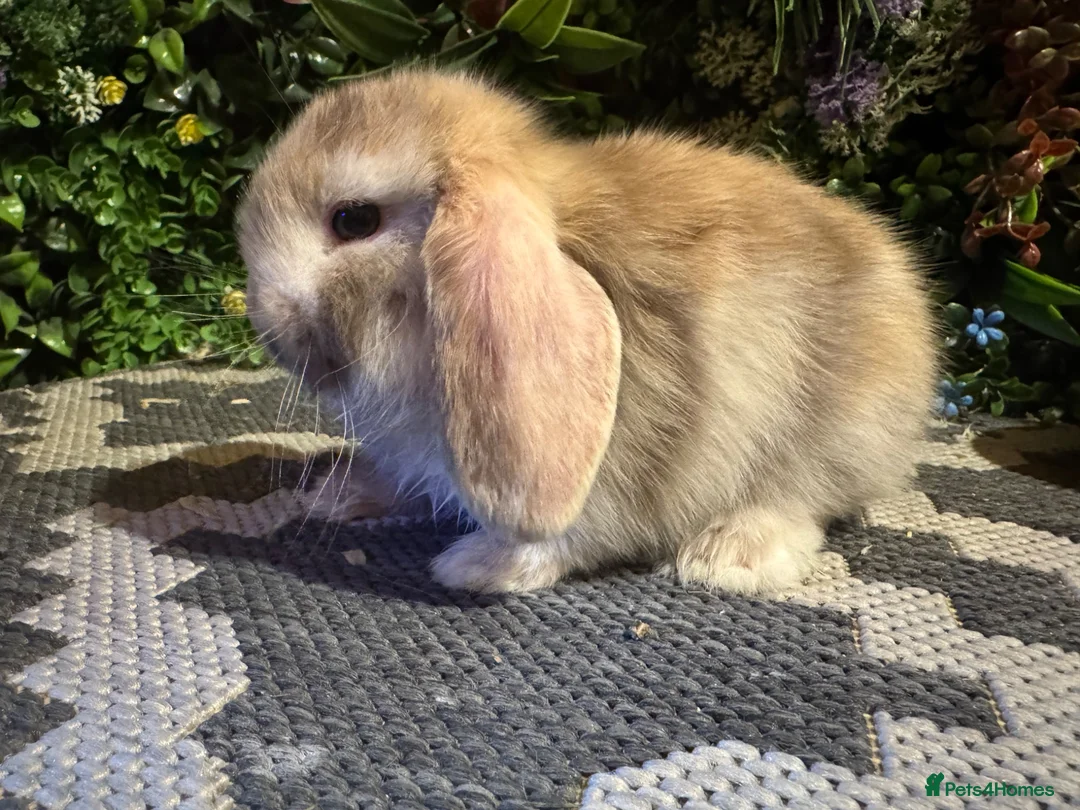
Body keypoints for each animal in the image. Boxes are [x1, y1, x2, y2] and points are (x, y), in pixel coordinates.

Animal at [236, 67, 938, 595]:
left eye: (354, 220)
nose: (266, 324)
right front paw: (337, 494)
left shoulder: (626, 458)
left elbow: (573, 533)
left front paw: (478, 566)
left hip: (836, 432)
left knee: (805, 496)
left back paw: (731, 556)